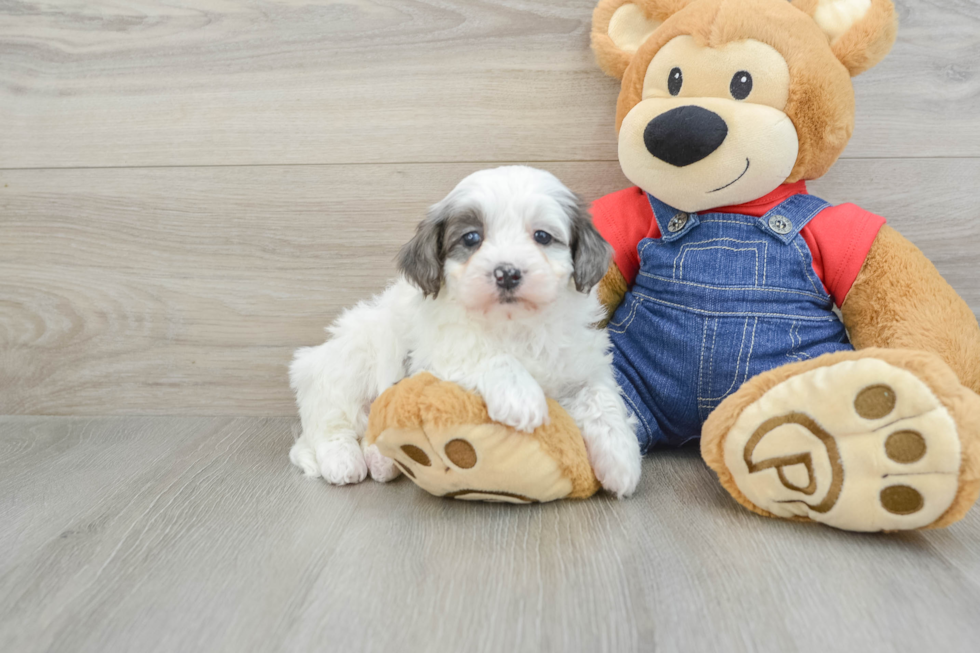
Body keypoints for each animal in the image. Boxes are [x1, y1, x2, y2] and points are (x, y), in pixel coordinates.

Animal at [290, 166, 644, 496]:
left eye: (542, 236)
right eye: (471, 238)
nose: (507, 273)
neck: (514, 324)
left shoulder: (583, 362)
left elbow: (602, 397)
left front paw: (621, 457)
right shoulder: (436, 355)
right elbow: (485, 354)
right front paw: (521, 397)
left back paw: (380, 461)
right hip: (349, 361)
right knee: (330, 421)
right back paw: (342, 460)